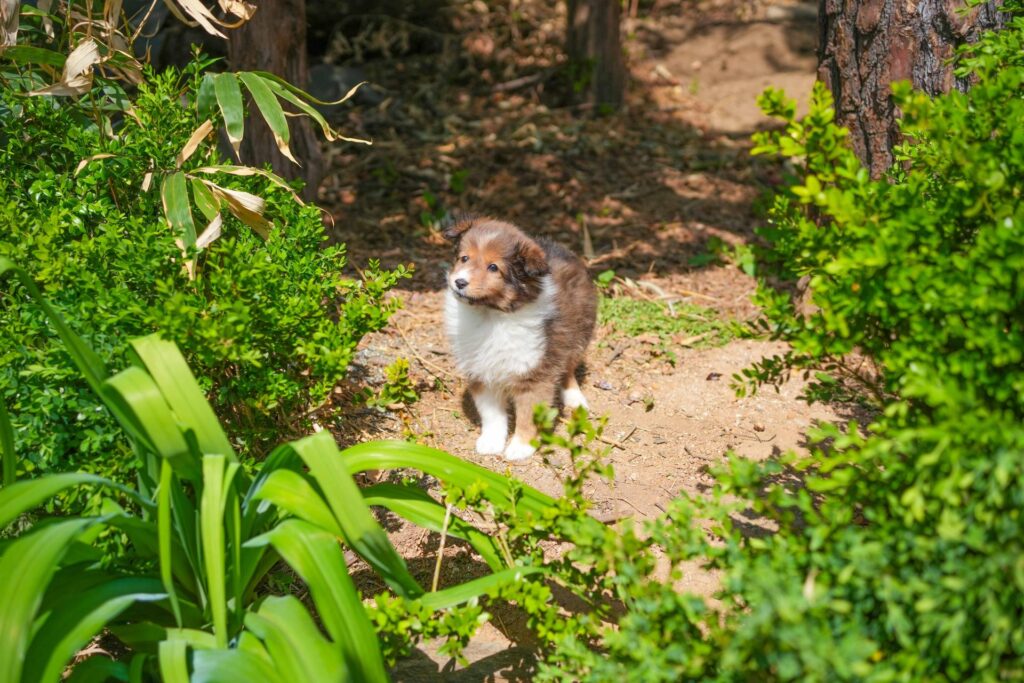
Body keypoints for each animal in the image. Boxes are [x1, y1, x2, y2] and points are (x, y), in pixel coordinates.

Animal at [442, 215, 598, 458]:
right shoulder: (482, 372)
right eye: (464, 258)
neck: (490, 315)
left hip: (576, 336)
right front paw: (491, 442)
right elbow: (491, 414)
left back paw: (575, 399)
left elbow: (528, 414)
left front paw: (520, 447)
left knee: (568, 369)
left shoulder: (534, 375)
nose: (459, 282)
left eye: (493, 267)